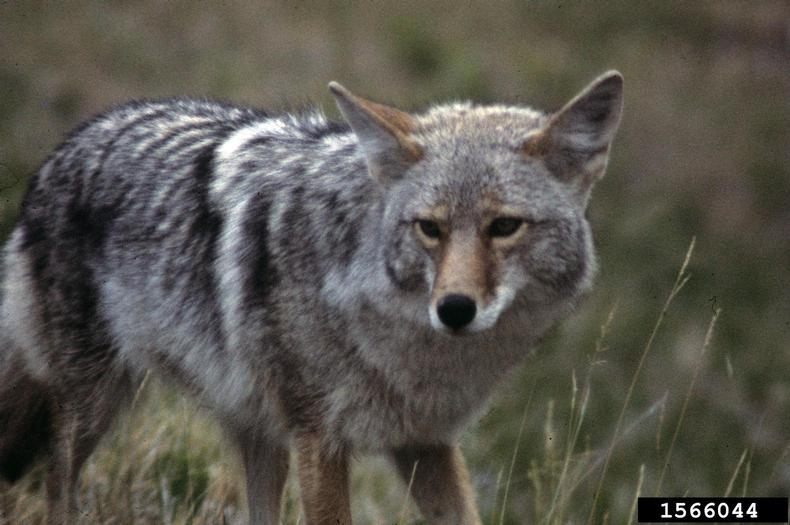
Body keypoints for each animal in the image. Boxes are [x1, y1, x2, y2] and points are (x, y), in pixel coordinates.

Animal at [0, 71, 622, 524]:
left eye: (504, 227)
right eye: (430, 229)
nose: (454, 309)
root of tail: (63, 150)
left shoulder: (425, 442)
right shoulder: (320, 440)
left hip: (255, 434)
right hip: (94, 410)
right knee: (54, 484)